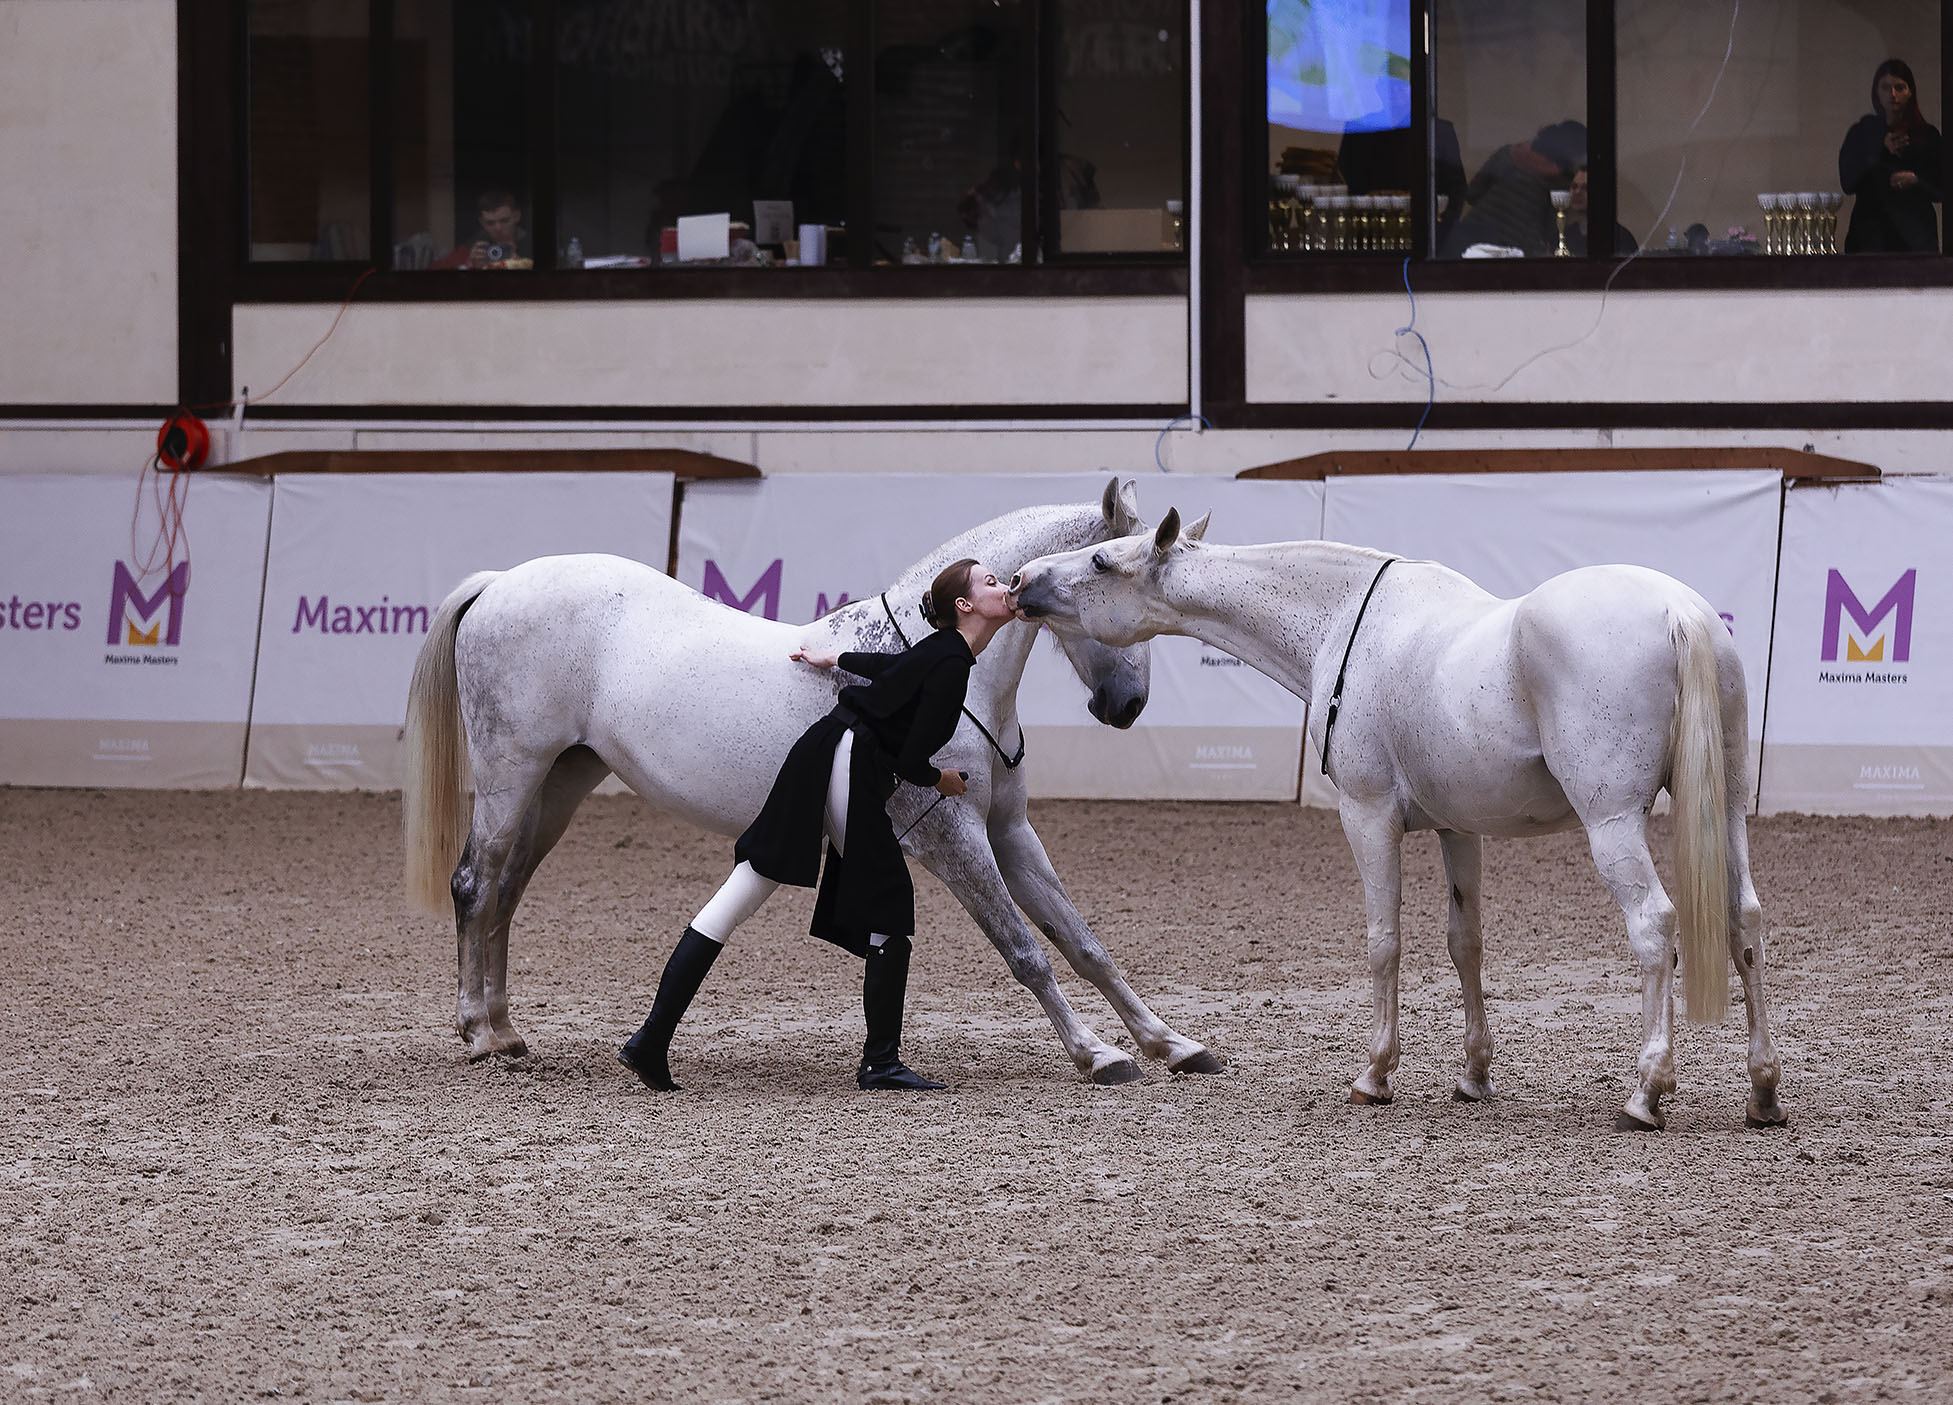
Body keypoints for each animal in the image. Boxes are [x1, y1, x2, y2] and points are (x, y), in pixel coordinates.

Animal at [398, 484, 1218, 1086]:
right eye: (1113, 588)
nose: (1126, 706)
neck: (941, 663)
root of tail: (501, 584)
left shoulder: (1009, 832)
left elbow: (1083, 941)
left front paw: (1169, 1043)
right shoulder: (952, 838)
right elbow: (1025, 949)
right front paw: (1097, 1054)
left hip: (560, 783)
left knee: (506, 892)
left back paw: (507, 1030)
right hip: (512, 774)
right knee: (475, 883)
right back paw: (480, 1034)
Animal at [1015, 504, 1788, 1133]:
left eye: (1100, 560)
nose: (1021, 578)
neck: (1346, 623)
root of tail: (1679, 612)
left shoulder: (1368, 817)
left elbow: (1383, 942)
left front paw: (1374, 1075)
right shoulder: (1458, 830)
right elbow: (1464, 943)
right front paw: (1473, 1076)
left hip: (1612, 823)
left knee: (1654, 927)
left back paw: (1645, 1092)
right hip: (1726, 816)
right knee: (1743, 922)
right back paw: (1763, 1091)